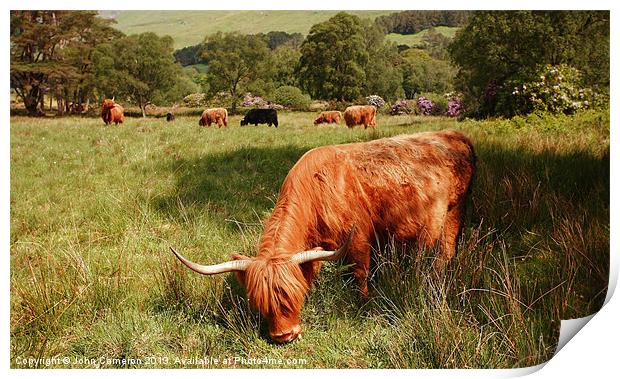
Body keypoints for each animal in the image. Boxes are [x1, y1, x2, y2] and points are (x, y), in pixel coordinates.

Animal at [172, 130, 478, 344]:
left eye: (294, 296)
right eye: (260, 303)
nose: (284, 336)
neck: (317, 191)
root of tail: (453, 134)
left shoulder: (358, 240)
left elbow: (359, 274)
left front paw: (363, 306)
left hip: (454, 211)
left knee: (445, 250)